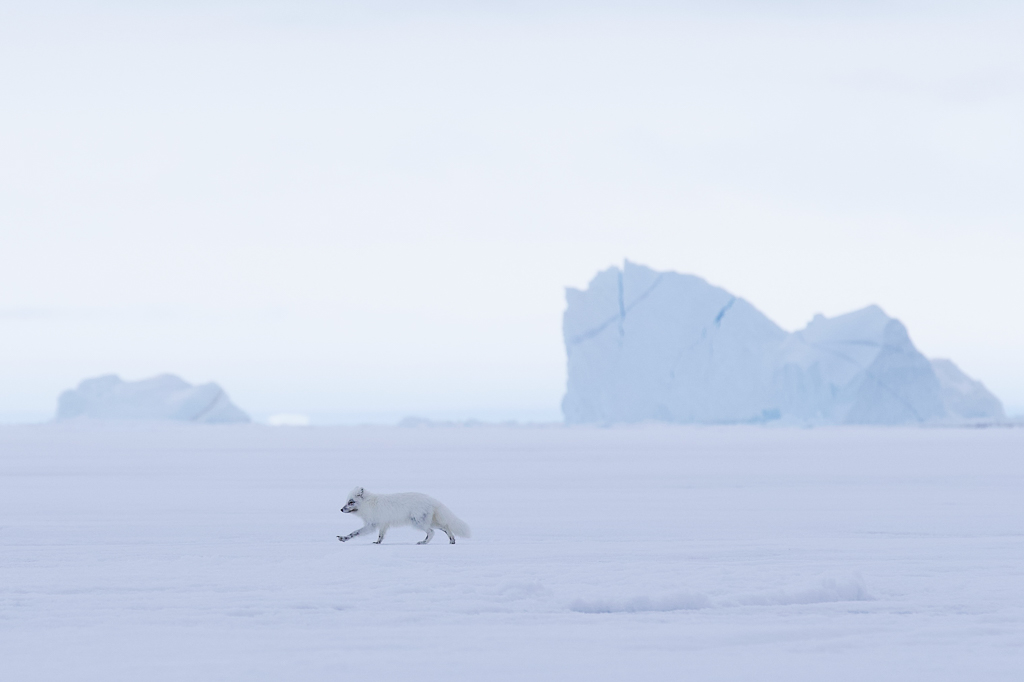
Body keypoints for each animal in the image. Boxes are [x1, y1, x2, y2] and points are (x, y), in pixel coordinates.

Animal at [337, 487, 471, 545]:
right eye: (347, 501)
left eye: (351, 502)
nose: (341, 509)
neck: (368, 504)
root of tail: (431, 499)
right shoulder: (383, 524)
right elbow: (381, 535)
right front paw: (378, 542)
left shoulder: (371, 525)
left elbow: (355, 532)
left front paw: (343, 538)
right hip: (430, 521)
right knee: (445, 527)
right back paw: (452, 540)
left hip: (418, 522)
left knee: (432, 532)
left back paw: (423, 542)